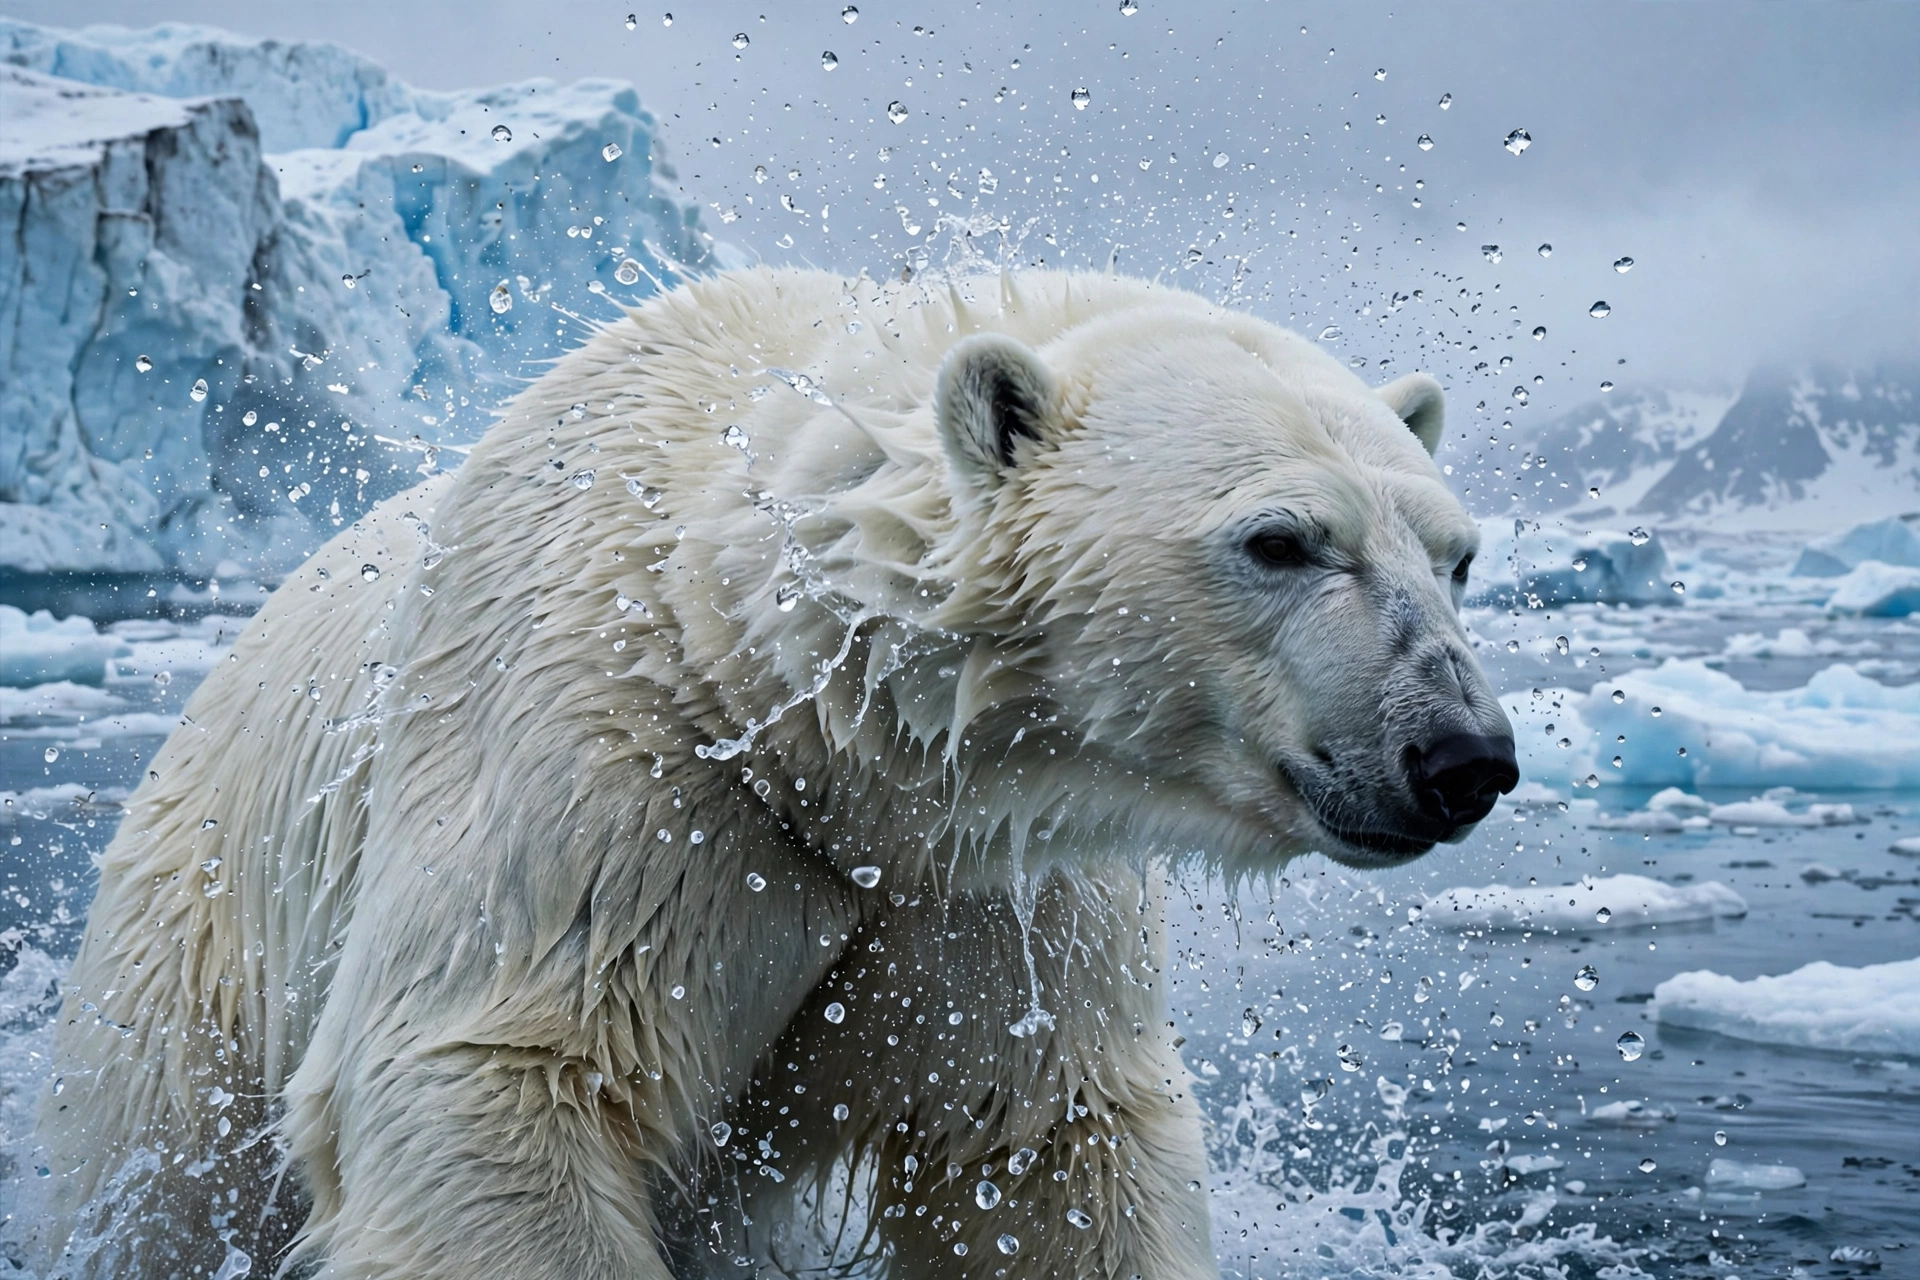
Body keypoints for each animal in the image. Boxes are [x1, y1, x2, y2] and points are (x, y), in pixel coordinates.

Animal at [36, 266, 1517, 1279]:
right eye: (1281, 539)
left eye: (1457, 553)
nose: (1464, 756)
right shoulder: (615, 776)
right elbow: (487, 1065)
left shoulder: (994, 892)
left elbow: (1045, 1147)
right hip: (194, 949)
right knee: (165, 1187)